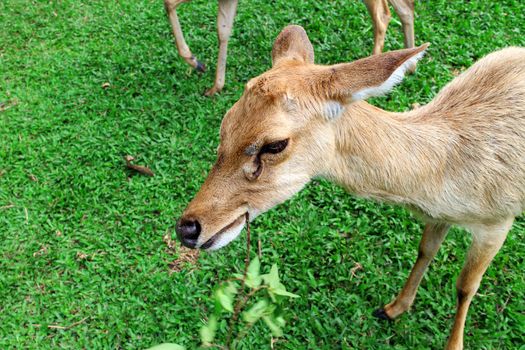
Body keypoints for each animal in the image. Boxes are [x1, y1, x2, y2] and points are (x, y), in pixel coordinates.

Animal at [164, 0, 414, 94]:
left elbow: (169, 3)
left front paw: (194, 61)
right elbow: (223, 27)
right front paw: (214, 84)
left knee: (383, 15)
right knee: (403, 7)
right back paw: (409, 66)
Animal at [175, 25, 524, 350]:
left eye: (274, 144)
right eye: (226, 123)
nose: (188, 228)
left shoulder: (498, 219)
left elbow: (465, 286)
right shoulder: (440, 217)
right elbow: (425, 250)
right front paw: (392, 308)